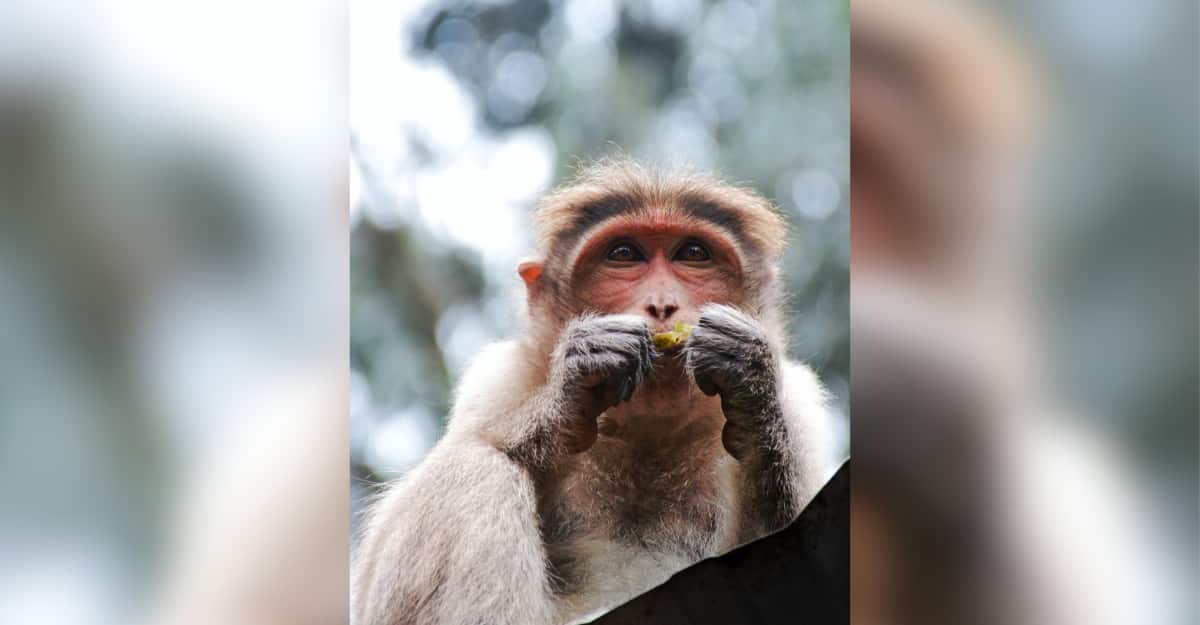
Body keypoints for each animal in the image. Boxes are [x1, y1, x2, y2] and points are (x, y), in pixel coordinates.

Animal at [352, 159, 839, 625]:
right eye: (623, 254)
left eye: (693, 254)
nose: (662, 305)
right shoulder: (498, 379)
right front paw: (578, 384)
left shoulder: (798, 401)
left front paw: (747, 376)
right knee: (474, 469)